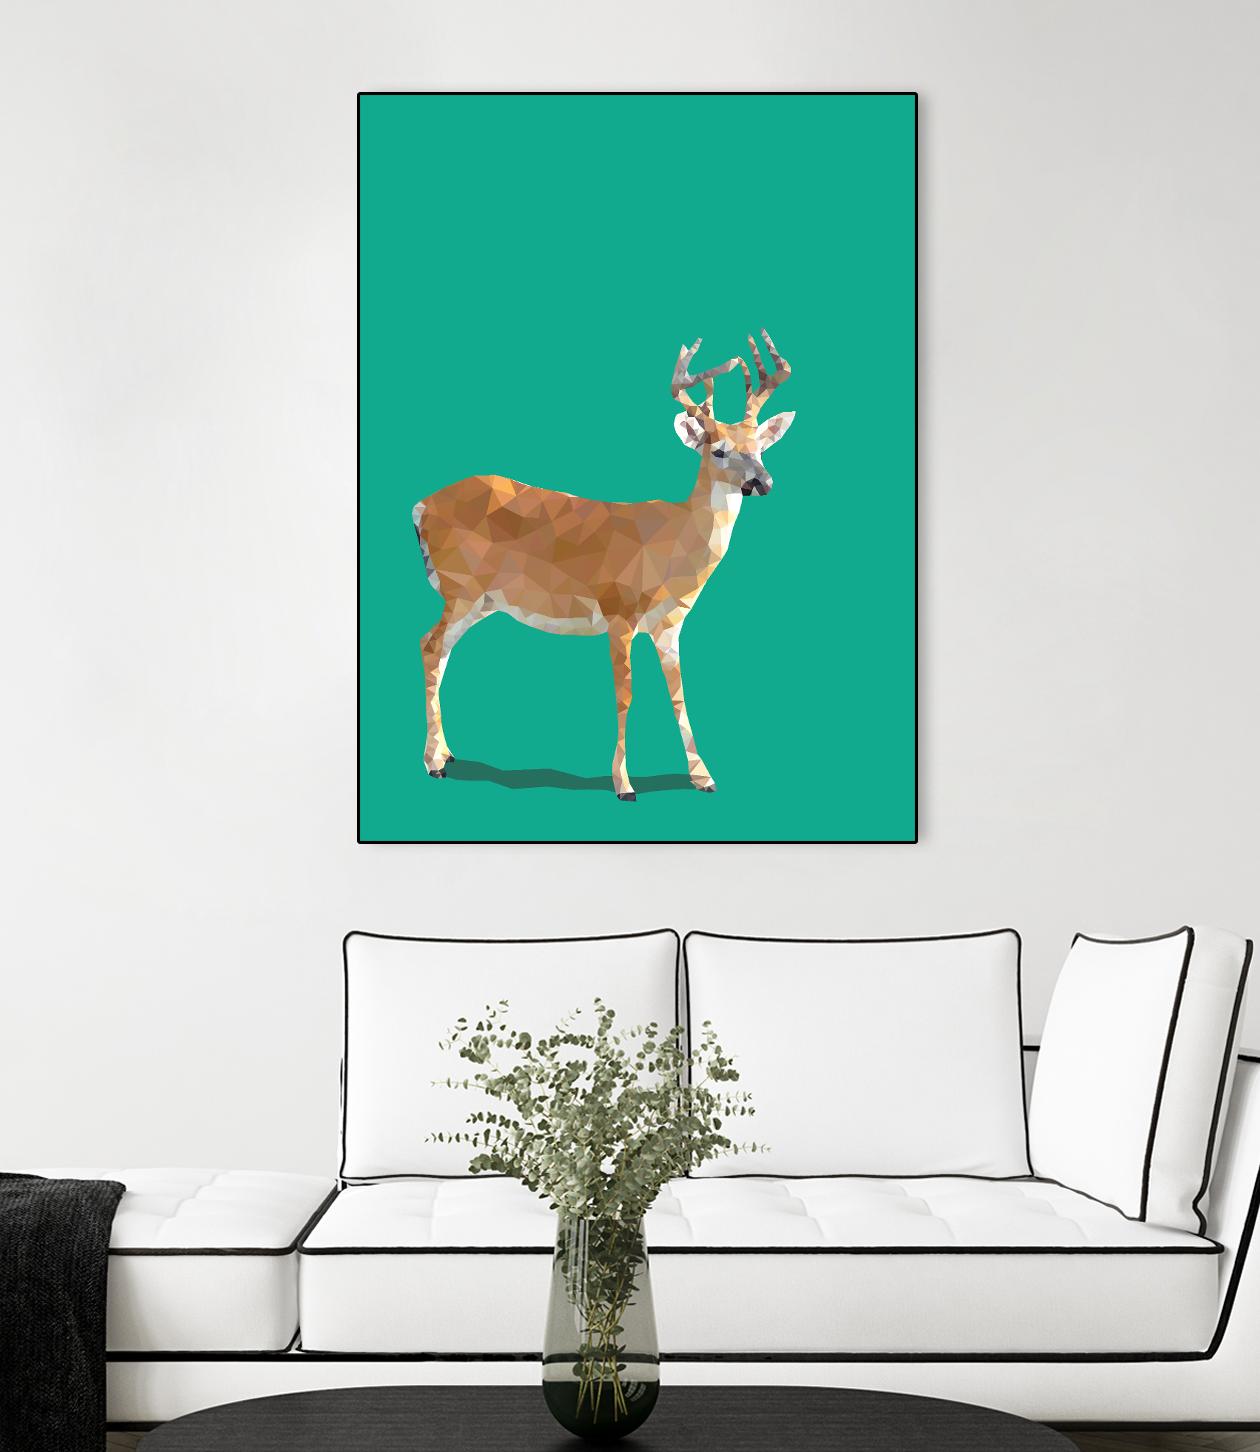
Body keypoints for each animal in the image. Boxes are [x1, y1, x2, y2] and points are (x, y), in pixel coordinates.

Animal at [412, 331, 795, 801]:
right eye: (719, 451)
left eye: (760, 448)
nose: (763, 482)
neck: (672, 548)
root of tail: (420, 506)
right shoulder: (619, 610)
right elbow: (625, 696)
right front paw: (624, 784)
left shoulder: (670, 625)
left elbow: (679, 695)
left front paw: (704, 776)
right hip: (461, 587)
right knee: (430, 646)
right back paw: (432, 763)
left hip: (480, 600)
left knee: (441, 650)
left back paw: (446, 754)